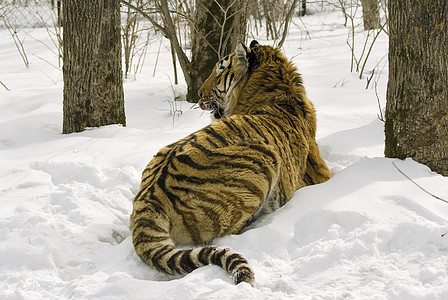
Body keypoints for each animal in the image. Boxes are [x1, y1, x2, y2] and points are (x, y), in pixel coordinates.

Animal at [130, 39, 328, 286]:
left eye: (220, 70)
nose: (199, 93)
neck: (277, 89)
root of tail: (150, 196)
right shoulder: (321, 172)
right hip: (265, 158)